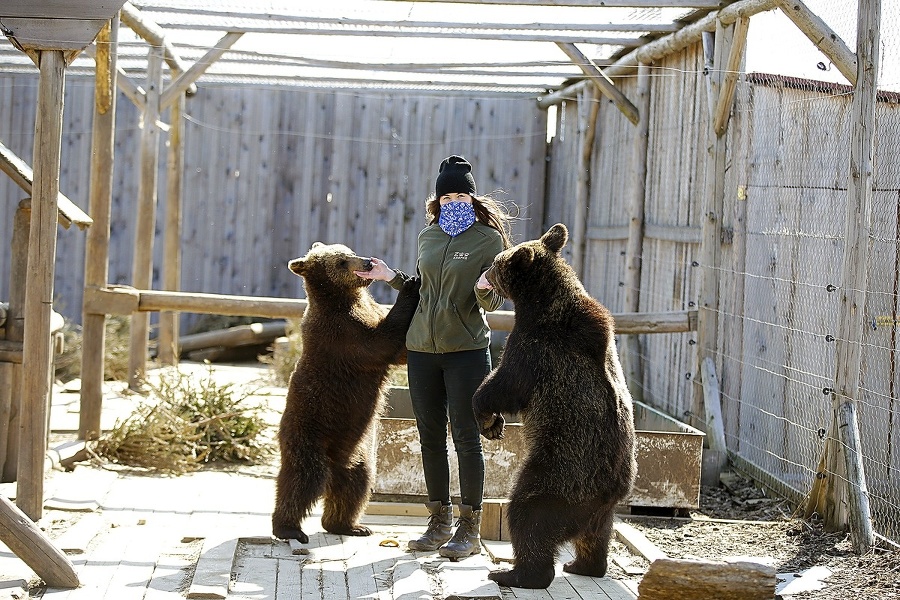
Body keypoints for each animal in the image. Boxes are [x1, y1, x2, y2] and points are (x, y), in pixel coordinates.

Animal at [268, 240, 420, 544]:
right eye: (341, 261)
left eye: (350, 251)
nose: (367, 262)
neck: (343, 298)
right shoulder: (343, 334)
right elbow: (382, 342)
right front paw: (410, 285)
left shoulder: (366, 313)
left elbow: (401, 348)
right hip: (309, 434)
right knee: (303, 479)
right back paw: (289, 528)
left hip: (357, 454)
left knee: (356, 485)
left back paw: (350, 525)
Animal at [474, 223, 636, 588]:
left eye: (496, 262)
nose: (484, 272)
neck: (540, 304)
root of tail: (606, 494)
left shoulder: (537, 350)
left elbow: (504, 384)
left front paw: (487, 418)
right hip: (604, 507)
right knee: (596, 536)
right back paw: (583, 565)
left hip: (559, 473)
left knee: (528, 514)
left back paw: (515, 572)